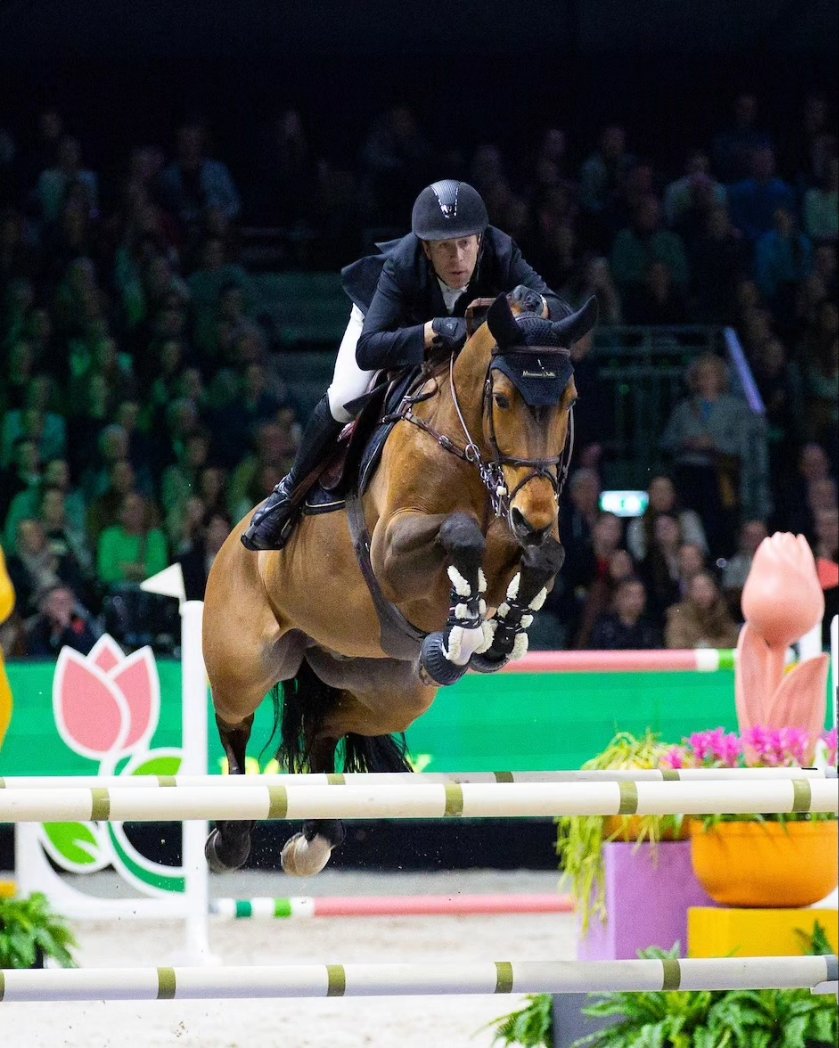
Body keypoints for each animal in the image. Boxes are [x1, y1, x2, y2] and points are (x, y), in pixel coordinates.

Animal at [202, 288, 598, 876]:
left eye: (570, 399)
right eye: (503, 399)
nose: (535, 515)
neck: (468, 449)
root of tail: (228, 546)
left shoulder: (521, 538)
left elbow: (545, 557)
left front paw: (498, 636)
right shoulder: (390, 551)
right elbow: (460, 536)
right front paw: (466, 626)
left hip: (389, 690)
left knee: (325, 727)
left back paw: (315, 839)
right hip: (244, 663)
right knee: (234, 728)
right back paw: (229, 838)